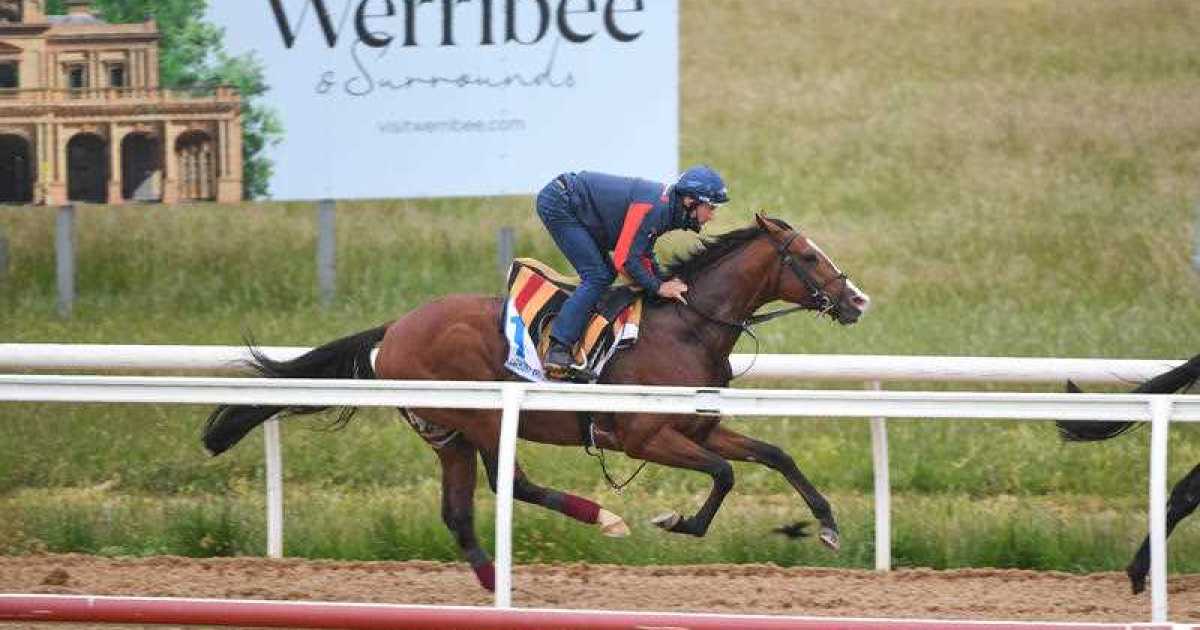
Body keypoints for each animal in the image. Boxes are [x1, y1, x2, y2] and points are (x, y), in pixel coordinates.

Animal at [202, 214, 871, 590]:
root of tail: (391, 330)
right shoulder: (645, 437)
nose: (857, 300)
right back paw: (602, 519)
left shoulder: (698, 427)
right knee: (507, 485)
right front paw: (676, 521)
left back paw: (500, 576)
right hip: (478, 415)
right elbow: (726, 474)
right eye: (807, 256)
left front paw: (828, 525)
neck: (685, 328)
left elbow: (774, 455)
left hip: (448, 433)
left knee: (464, 511)